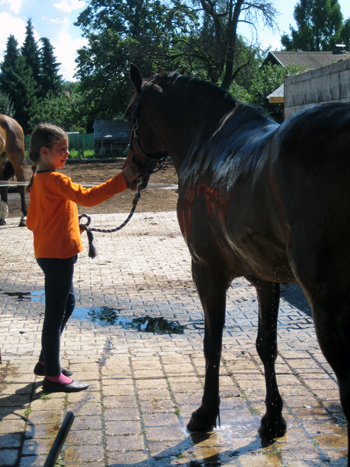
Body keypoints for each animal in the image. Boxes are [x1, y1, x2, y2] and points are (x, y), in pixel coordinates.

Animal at [125, 64, 350, 462]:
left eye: (130, 115)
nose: (130, 167)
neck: (207, 138)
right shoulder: (267, 278)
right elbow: (266, 346)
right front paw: (273, 420)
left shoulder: (206, 272)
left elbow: (212, 343)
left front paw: (205, 414)